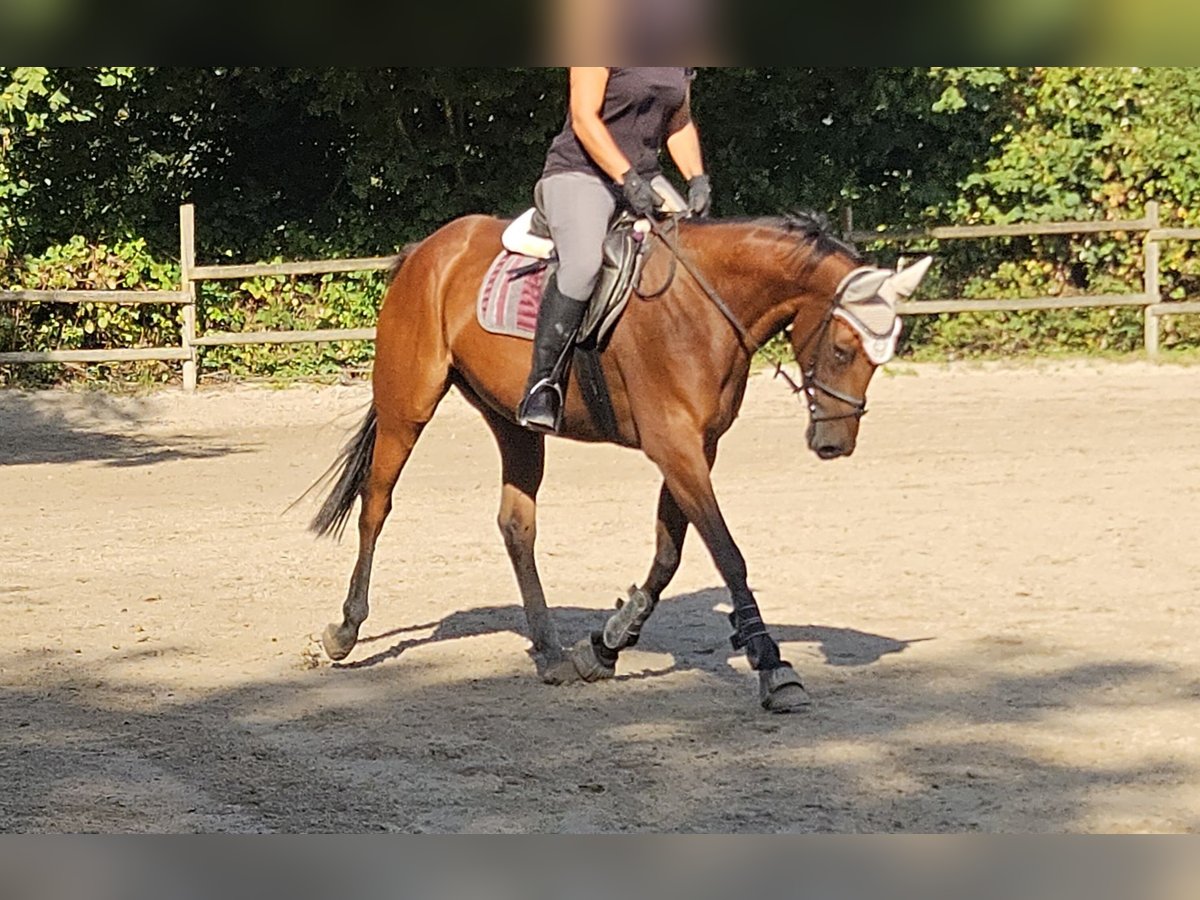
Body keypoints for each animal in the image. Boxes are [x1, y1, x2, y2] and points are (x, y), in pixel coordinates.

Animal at [307, 211, 931, 712]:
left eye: (883, 355)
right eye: (843, 350)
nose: (835, 444)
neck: (701, 305)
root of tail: (428, 250)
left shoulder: (695, 448)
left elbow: (668, 554)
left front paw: (605, 646)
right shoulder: (675, 446)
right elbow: (727, 555)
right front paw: (773, 667)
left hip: (513, 422)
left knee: (516, 524)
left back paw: (551, 651)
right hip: (407, 407)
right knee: (376, 505)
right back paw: (345, 628)